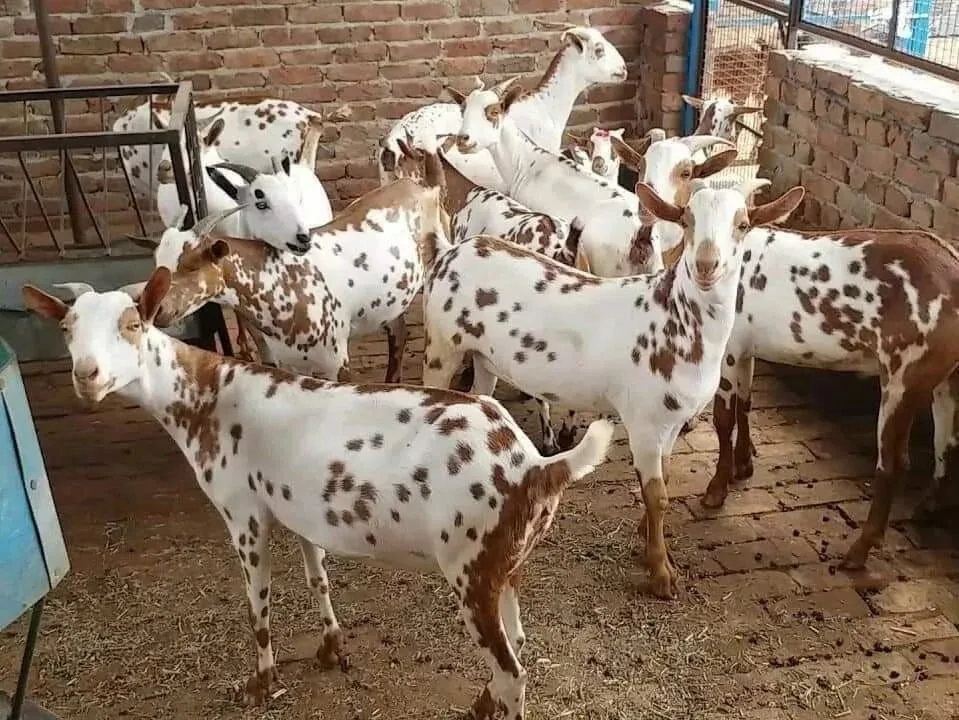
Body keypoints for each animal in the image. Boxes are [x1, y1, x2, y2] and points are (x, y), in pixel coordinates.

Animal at [23, 266, 614, 716]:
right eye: (68, 329)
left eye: (131, 324)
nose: (87, 375)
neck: (206, 395)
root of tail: (536, 466)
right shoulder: (299, 507)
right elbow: (316, 575)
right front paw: (331, 648)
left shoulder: (243, 512)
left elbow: (257, 603)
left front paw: (260, 682)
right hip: (505, 562)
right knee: (517, 643)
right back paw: (479, 702)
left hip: (470, 568)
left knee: (513, 672)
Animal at [130, 180, 448, 384]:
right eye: (157, 262)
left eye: (194, 263)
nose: (155, 308)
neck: (280, 279)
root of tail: (421, 186)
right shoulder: (288, 361)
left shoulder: (336, 361)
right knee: (399, 332)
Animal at [420, 177, 805, 599]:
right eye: (687, 221)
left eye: (743, 224)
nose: (707, 265)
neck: (675, 322)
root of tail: (449, 251)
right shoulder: (644, 420)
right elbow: (658, 495)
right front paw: (661, 573)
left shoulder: (672, 422)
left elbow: (665, 478)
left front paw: (646, 540)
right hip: (442, 346)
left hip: (483, 358)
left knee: (479, 397)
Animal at [691, 212, 959, 572]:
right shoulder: (746, 348)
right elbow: (746, 404)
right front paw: (743, 465)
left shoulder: (728, 350)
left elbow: (723, 419)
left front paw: (715, 492)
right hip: (945, 377)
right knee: (947, 443)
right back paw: (927, 510)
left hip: (904, 374)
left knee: (894, 463)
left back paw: (858, 551)